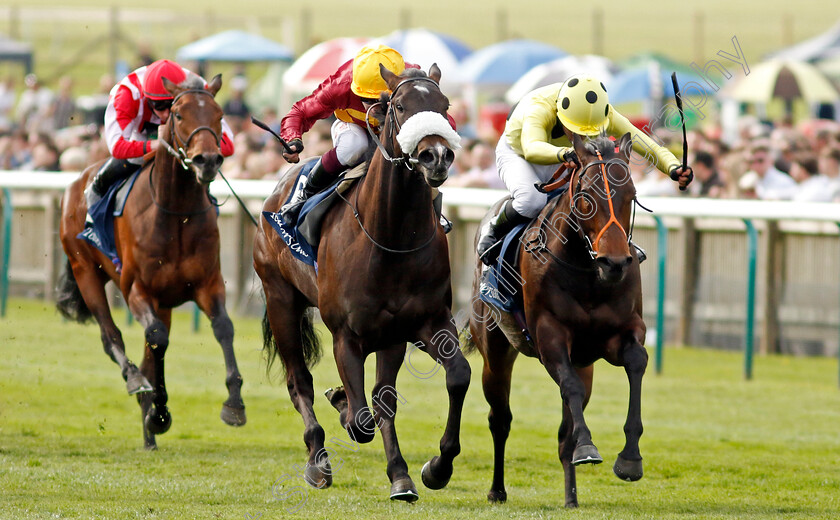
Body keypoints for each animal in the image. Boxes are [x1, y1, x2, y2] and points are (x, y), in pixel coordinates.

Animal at [56, 74, 243, 450]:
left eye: (219, 115)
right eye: (179, 114)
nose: (207, 161)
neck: (176, 212)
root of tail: (73, 184)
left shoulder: (208, 284)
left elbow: (223, 328)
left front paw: (234, 403)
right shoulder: (136, 289)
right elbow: (156, 339)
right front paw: (159, 412)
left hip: (164, 301)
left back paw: (149, 433)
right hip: (86, 272)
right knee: (112, 336)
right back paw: (136, 383)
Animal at [253, 63, 470, 502]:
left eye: (445, 105)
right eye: (399, 105)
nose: (436, 155)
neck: (389, 238)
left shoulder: (417, 326)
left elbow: (453, 378)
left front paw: (427, 470)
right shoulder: (346, 335)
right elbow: (361, 419)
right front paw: (344, 410)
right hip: (280, 298)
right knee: (298, 380)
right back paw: (317, 462)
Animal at [470, 133, 648, 508]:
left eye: (631, 194)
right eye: (586, 197)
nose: (614, 263)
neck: (587, 273)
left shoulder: (622, 333)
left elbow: (636, 362)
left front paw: (629, 459)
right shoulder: (549, 335)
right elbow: (570, 387)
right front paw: (588, 447)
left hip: (585, 363)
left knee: (565, 429)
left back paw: (571, 497)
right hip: (495, 351)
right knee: (500, 419)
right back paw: (495, 489)